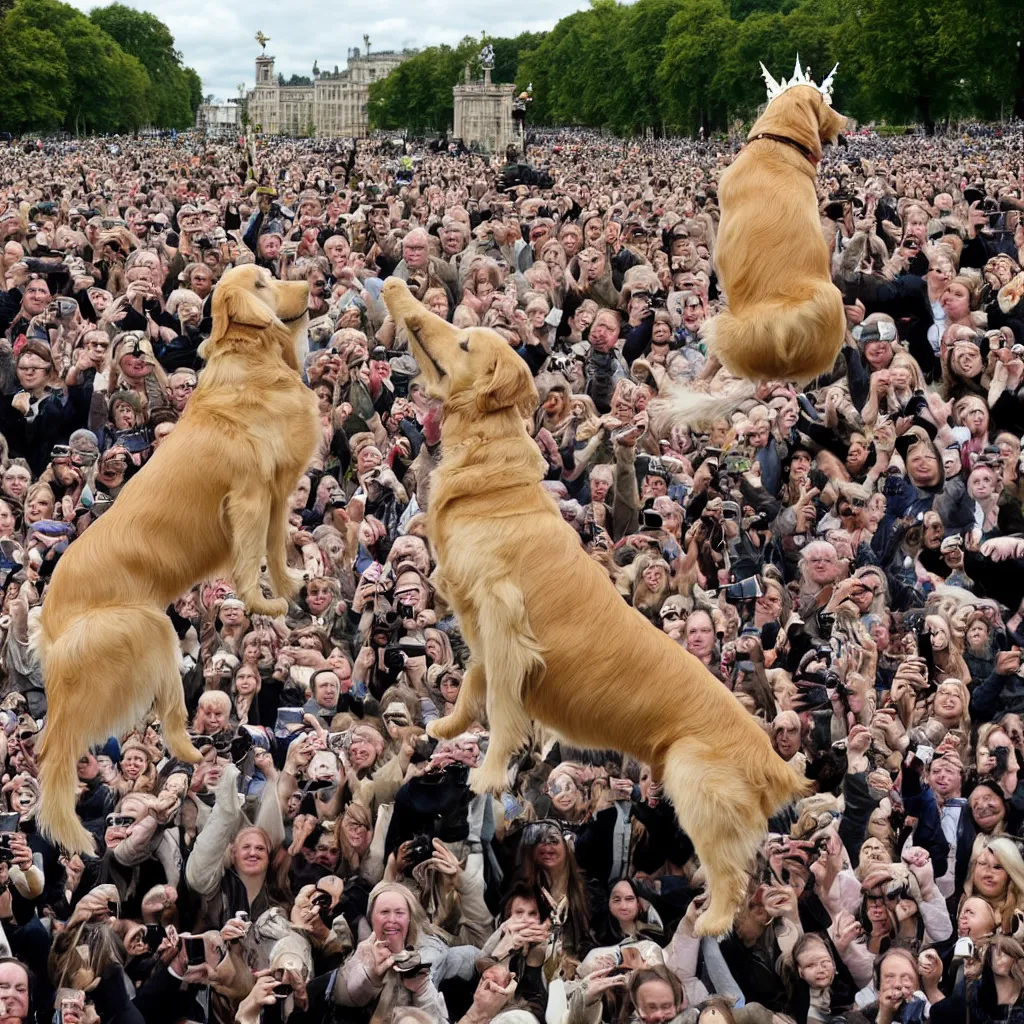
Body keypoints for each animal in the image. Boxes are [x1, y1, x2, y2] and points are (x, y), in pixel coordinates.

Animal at [36, 266, 317, 856]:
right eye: (263, 283)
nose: (309, 286)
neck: (254, 360)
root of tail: (47, 616)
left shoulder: (278, 495)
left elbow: (276, 551)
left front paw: (289, 588)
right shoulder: (251, 497)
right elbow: (252, 555)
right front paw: (260, 601)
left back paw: (196, 757)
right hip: (141, 635)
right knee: (67, 745)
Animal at [380, 278, 802, 937]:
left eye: (466, 341)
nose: (398, 286)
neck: (491, 472)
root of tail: (772, 760)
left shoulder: (504, 623)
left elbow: (503, 710)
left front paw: (486, 772)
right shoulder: (481, 629)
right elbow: (472, 684)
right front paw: (448, 725)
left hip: (692, 783)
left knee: (734, 873)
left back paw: (709, 921)